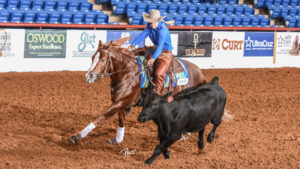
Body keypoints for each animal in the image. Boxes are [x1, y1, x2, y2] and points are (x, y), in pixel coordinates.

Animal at [69, 37, 207, 145]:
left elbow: (101, 117)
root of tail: (200, 72)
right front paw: (118, 139)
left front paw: (77, 136)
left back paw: (185, 134)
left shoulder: (120, 102)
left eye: (102, 59)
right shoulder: (122, 103)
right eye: (92, 57)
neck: (128, 73)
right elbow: (121, 120)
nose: (89, 76)